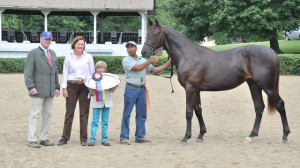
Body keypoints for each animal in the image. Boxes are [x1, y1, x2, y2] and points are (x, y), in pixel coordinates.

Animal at [142, 18, 290, 144]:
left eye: (156, 34)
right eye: (147, 33)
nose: (144, 52)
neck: (188, 55)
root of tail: (272, 53)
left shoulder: (190, 88)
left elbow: (189, 112)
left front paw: (186, 137)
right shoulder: (196, 90)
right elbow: (198, 110)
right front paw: (201, 135)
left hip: (267, 86)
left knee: (280, 104)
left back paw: (285, 136)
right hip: (253, 84)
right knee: (259, 107)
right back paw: (251, 136)